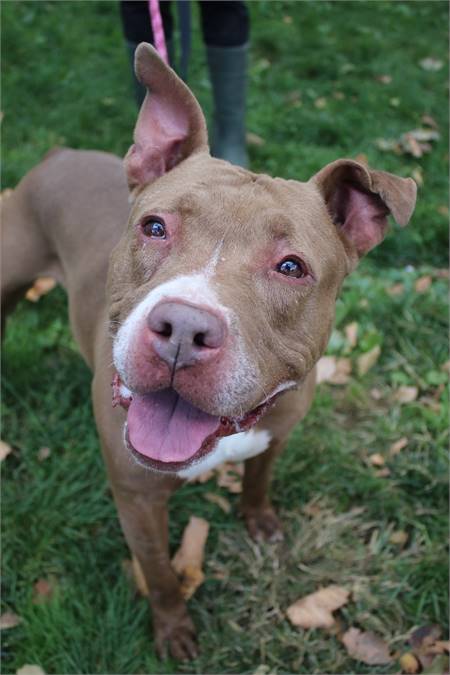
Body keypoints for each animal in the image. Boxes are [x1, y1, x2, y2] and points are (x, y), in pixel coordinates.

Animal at [0, 46, 416, 660]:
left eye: (291, 266)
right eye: (155, 228)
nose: (182, 329)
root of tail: (58, 152)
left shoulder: (278, 432)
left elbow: (259, 478)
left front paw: (260, 520)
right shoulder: (137, 498)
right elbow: (160, 575)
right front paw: (175, 631)